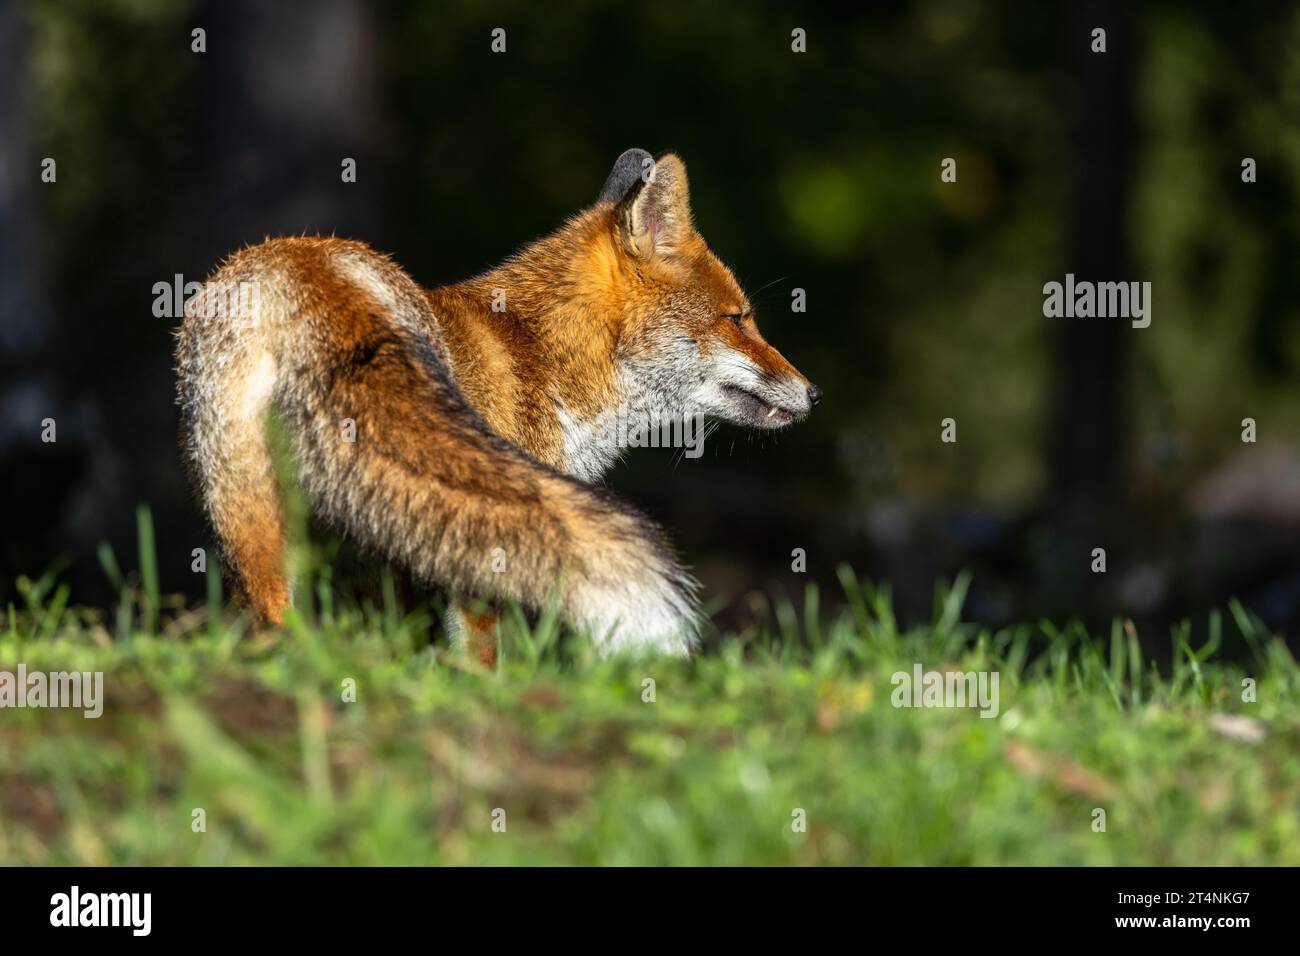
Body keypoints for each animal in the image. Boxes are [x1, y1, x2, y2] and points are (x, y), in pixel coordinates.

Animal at [174, 149, 821, 662]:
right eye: (739, 319)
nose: (814, 392)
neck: (549, 357)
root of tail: (299, 266)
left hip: (248, 515)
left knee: (271, 609)